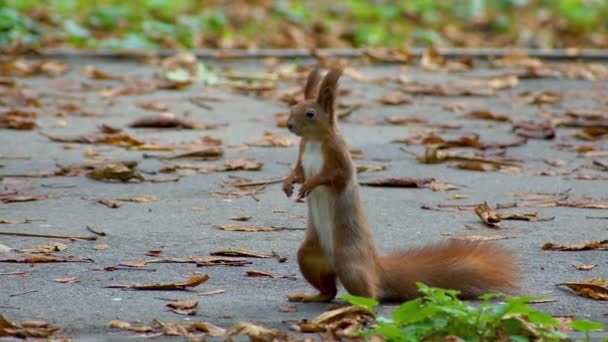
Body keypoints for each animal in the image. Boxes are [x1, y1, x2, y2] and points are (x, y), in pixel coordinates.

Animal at [280, 66, 516, 302]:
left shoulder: (339, 156)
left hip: (348, 262)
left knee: (370, 295)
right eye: (293, 108)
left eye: (310, 114)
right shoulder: (302, 153)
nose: (289, 125)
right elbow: (298, 172)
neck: (314, 141)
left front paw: (311, 183)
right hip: (310, 257)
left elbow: (336, 177)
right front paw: (288, 182)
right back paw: (312, 296)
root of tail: (376, 267)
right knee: (328, 290)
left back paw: (354, 304)